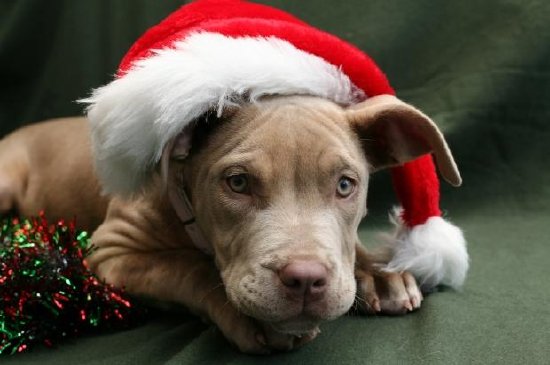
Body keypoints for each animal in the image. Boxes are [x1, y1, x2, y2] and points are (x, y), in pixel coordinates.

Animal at [0, 92, 462, 352]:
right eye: (237, 183)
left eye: (346, 185)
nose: (306, 280)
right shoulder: (113, 251)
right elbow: (189, 266)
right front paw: (254, 318)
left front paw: (379, 275)